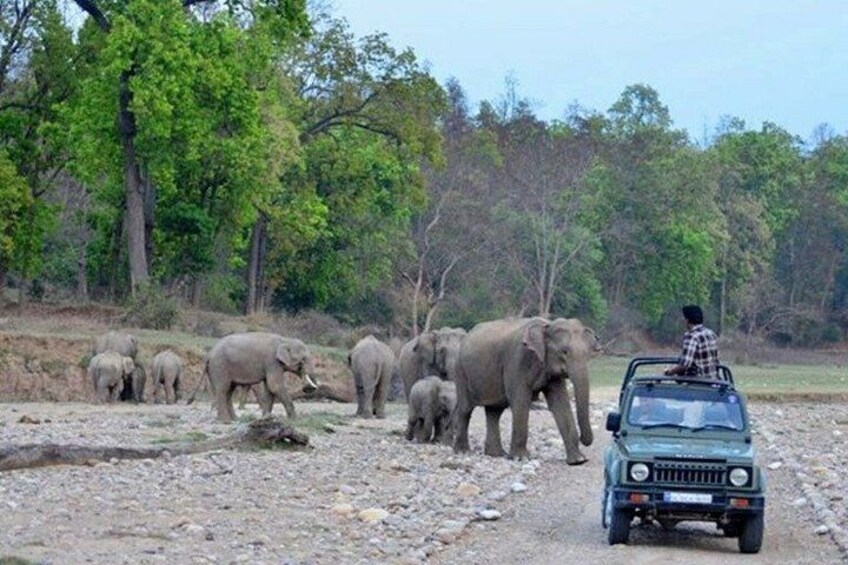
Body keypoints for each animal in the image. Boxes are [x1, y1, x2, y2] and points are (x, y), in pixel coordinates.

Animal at [453, 317, 601, 464]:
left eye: (588, 354)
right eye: (564, 351)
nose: (584, 440)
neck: (546, 325)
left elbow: (560, 403)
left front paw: (578, 460)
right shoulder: (516, 361)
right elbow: (521, 401)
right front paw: (520, 458)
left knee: (494, 411)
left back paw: (496, 454)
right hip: (460, 371)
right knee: (466, 409)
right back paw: (463, 451)